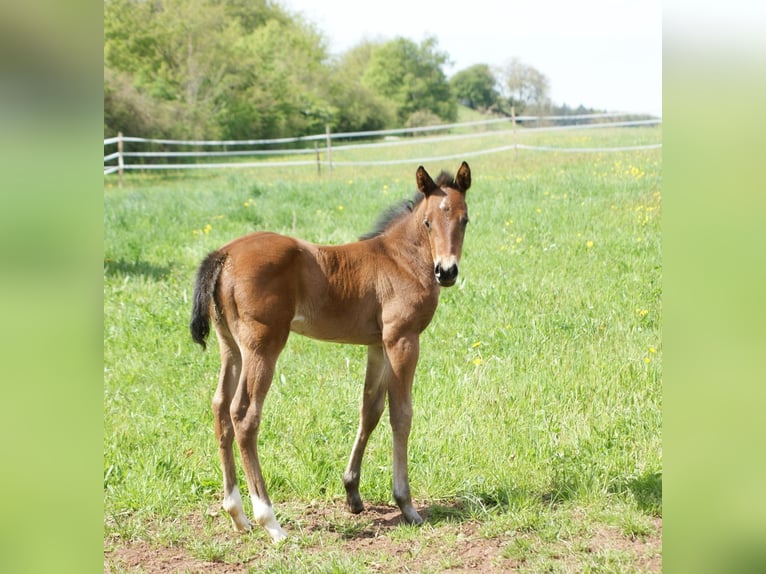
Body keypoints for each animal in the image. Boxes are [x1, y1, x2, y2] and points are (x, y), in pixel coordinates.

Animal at [190, 162, 472, 542]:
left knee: (220, 408)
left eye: (464, 219)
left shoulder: (377, 345)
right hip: (262, 346)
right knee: (244, 415)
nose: (446, 271)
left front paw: (353, 492)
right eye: (428, 222)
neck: (401, 259)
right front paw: (406, 505)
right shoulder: (403, 339)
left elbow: (370, 410)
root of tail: (224, 255)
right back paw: (269, 521)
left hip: (230, 347)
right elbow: (401, 414)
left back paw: (237, 515)